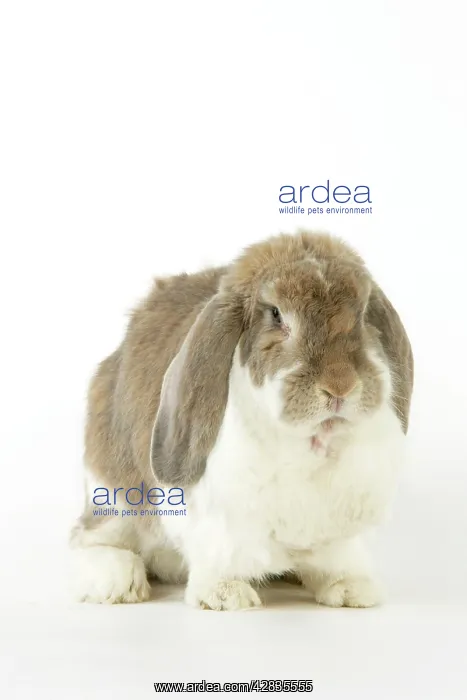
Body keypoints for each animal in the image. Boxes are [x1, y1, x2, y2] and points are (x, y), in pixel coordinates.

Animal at [70, 231, 413, 610]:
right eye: (276, 314)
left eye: (364, 313)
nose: (341, 386)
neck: (311, 443)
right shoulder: (216, 519)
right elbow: (218, 558)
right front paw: (225, 596)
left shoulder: (335, 533)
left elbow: (336, 561)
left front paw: (352, 590)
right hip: (113, 494)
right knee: (89, 537)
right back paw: (118, 582)